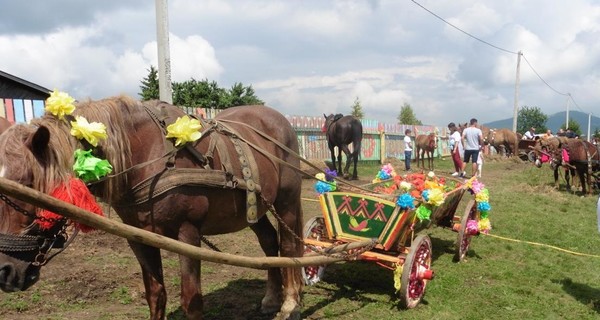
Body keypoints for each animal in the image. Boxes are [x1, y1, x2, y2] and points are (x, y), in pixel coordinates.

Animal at [0, 97, 304, 320]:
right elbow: (155, 294)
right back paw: (271, 300)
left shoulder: (188, 233)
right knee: (269, 244)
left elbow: (191, 300)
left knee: (289, 247)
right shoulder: (139, 237)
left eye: (27, 185)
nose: (4, 272)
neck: (147, 155)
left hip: (286, 201)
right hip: (255, 208)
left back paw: (290, 304)